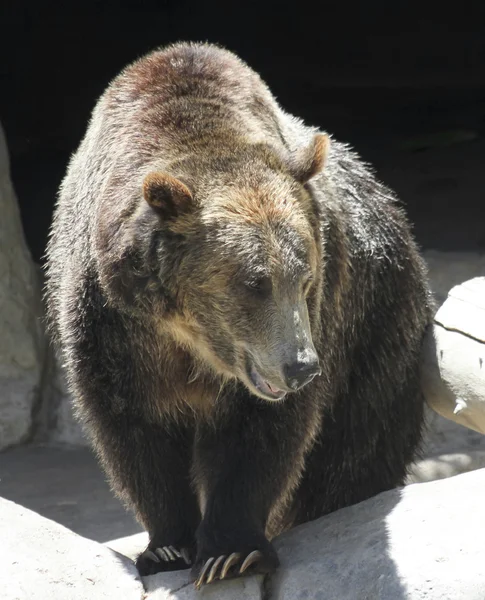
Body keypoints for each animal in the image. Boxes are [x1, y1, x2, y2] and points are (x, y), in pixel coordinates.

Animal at [44, 43, 432, 592]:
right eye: (253, 282)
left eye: (305, 275)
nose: (301, 366)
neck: (188, 339)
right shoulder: (110, 321)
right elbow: (133, 429)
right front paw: (167, 545)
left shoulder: (313, 320)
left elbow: (260, 437)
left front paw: (231, 552)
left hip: (377, 327)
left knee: (354, 451)